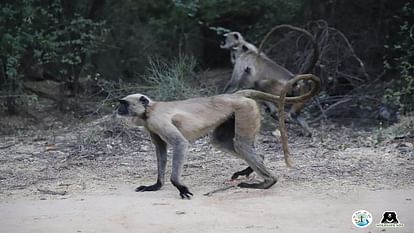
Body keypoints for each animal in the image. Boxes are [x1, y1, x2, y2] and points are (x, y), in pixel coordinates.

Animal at [116, 76, 320, 198]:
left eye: (124, 104)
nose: (117, 109)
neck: (150, 109)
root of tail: (235, 95)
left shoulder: (157, 120)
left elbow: (180, 144)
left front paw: (179, 186)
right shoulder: (150, 125)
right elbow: (160, 151)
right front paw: (156, 185)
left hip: (245, 110)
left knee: (240, 144)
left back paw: (268, 182)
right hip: (234, 115)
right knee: (221, 141)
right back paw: (256, 165)